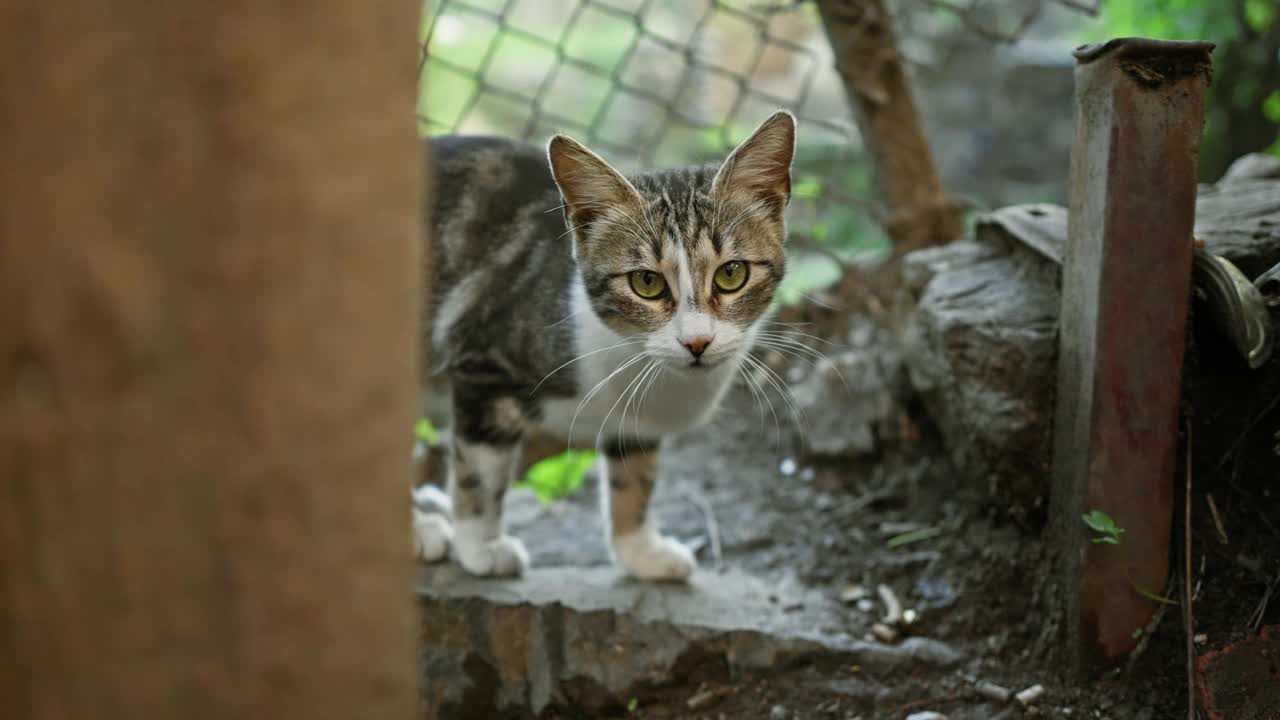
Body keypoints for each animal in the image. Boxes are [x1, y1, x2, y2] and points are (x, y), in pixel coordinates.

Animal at [414, 110, 793, 576]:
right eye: (646, 282)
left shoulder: (638, 420)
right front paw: (481, 546)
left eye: (732, 273)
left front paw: (640, 551)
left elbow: (636, 471)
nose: (697, 341)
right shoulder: (484, 362)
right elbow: (481, 469)